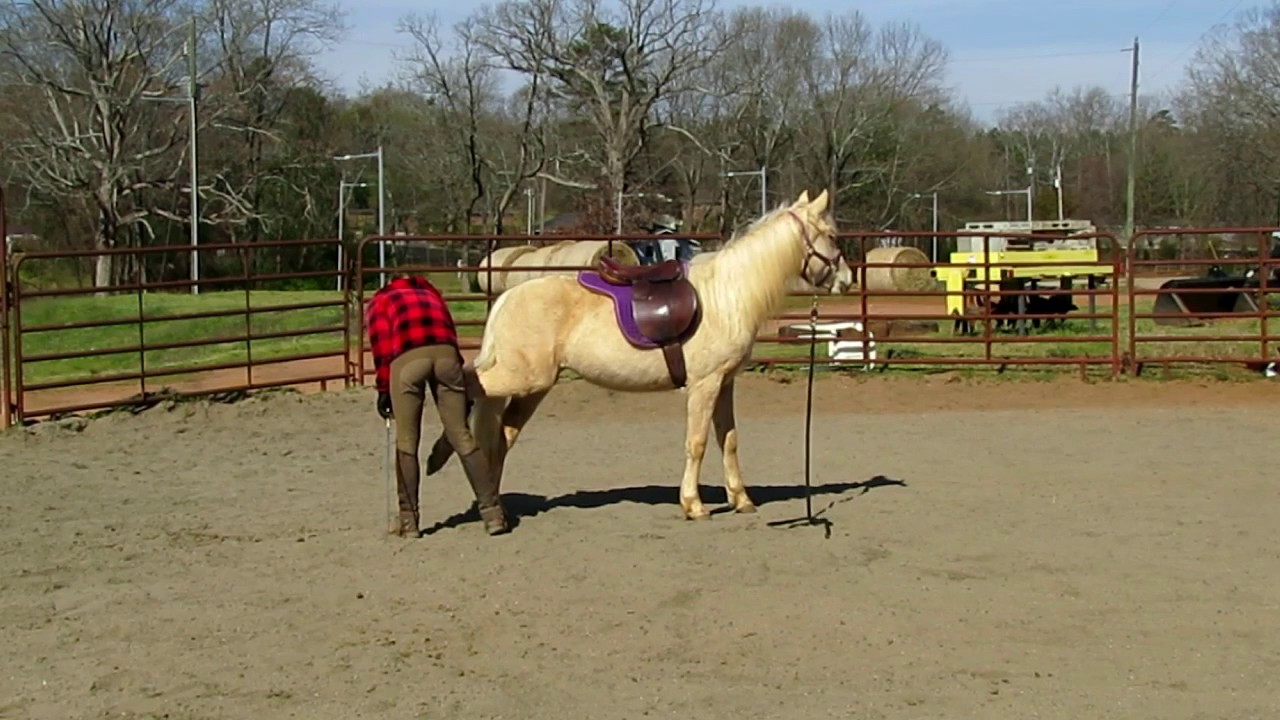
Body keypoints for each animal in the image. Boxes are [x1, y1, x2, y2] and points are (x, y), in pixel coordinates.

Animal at [428, 189, 854, 521]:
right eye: (832, 235)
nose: (848, 280)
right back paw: (438, 455)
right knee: (468, 385)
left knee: (500, 434)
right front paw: (694, 505)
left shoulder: (724, 383)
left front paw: (742, 499)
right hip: (522, 377)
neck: (727, 295)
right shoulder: (704, 385)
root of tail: (507, 296)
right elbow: (697, 442)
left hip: (534, 387)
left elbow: (728, 440)